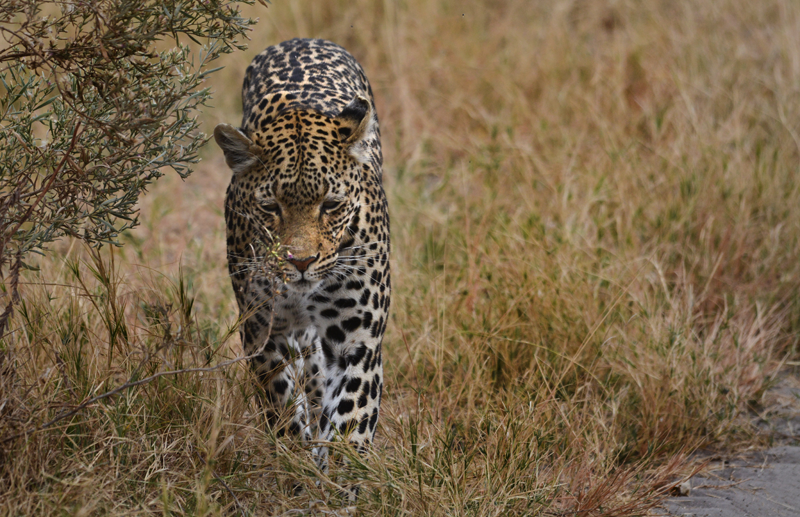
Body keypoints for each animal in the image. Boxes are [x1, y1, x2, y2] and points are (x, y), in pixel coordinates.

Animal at [213, 38, 390, 490]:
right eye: (270, 207)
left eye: (331, 205)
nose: (302, 261)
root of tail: (302, 40)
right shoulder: (263, 333)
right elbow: (282, 410)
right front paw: (297, 471)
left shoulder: (358, 339)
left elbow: (351, 419)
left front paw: (343, 483)